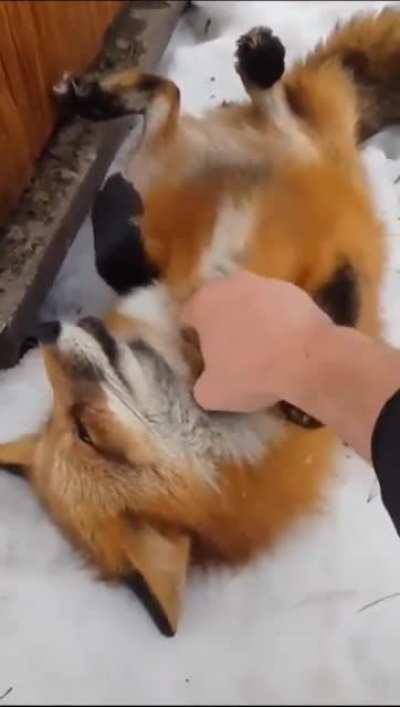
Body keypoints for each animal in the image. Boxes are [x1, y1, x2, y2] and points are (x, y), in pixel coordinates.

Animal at [1, 9, 399, 636]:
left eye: (81, 429)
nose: (42, 333)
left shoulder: (161, 274)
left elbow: (118, 259)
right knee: (178, 101)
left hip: (222, 159)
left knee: (202, 105)